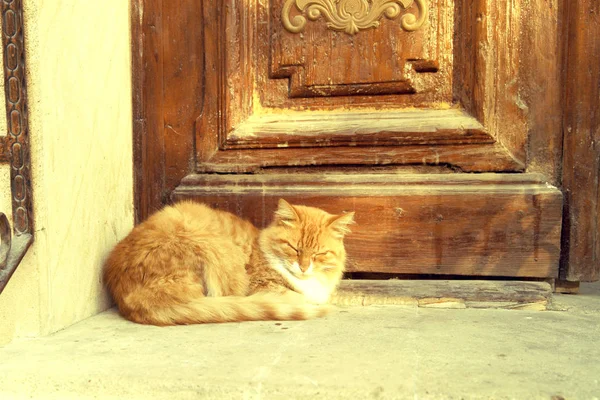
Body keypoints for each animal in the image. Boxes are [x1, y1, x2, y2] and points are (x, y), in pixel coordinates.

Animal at [104, 200, 356, 324]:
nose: (303, 267)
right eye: (294, 248)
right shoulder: (262, 288)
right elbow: (300, 298)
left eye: (319, 254)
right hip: (211, 246)